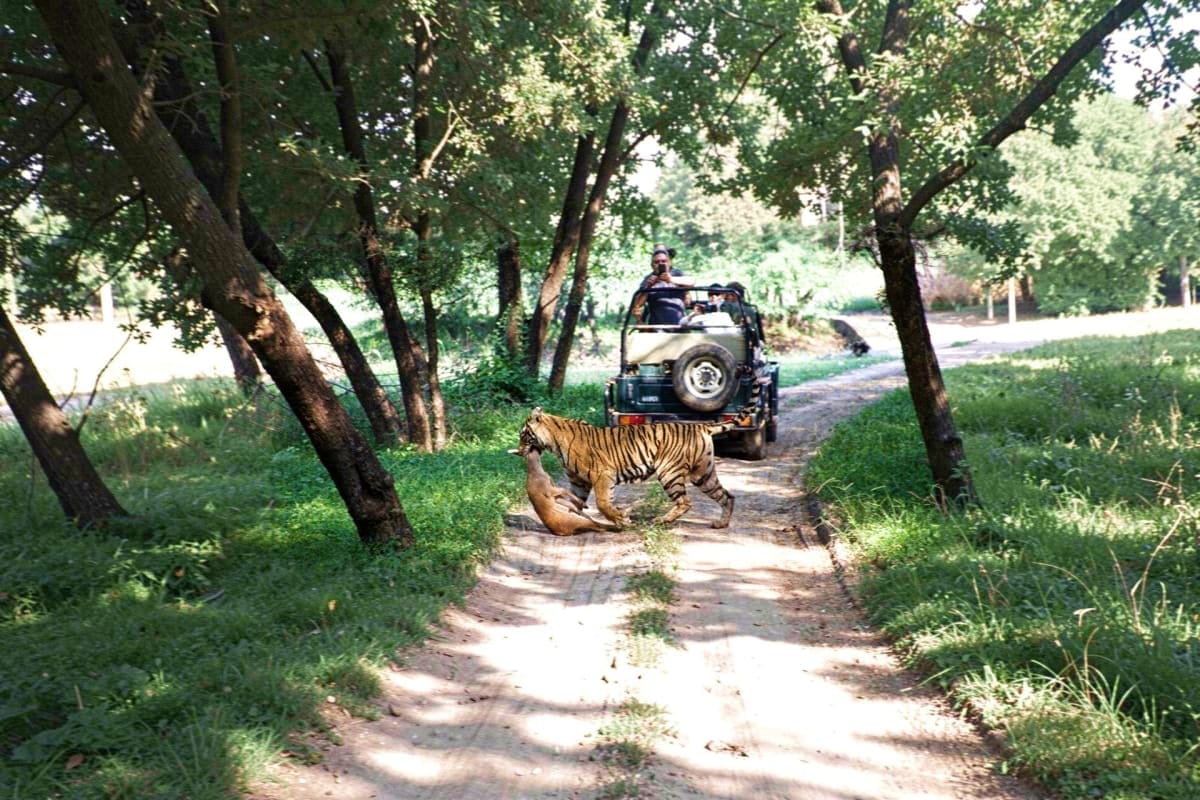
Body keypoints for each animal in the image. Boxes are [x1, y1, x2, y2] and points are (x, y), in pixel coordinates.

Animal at [514, 407, 743, 529]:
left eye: (523, 435)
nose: (519, 451)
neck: (553, 442)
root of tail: (700, 425)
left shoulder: (602, 475)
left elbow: (603, 503)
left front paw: (620, 519)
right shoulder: (579, 482)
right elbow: (575, 503)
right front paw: (577, 517)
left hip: (669, 471)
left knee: (685, 501)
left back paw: (662, 520)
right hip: (703, 474)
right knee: (727, 496)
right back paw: (721, 523)